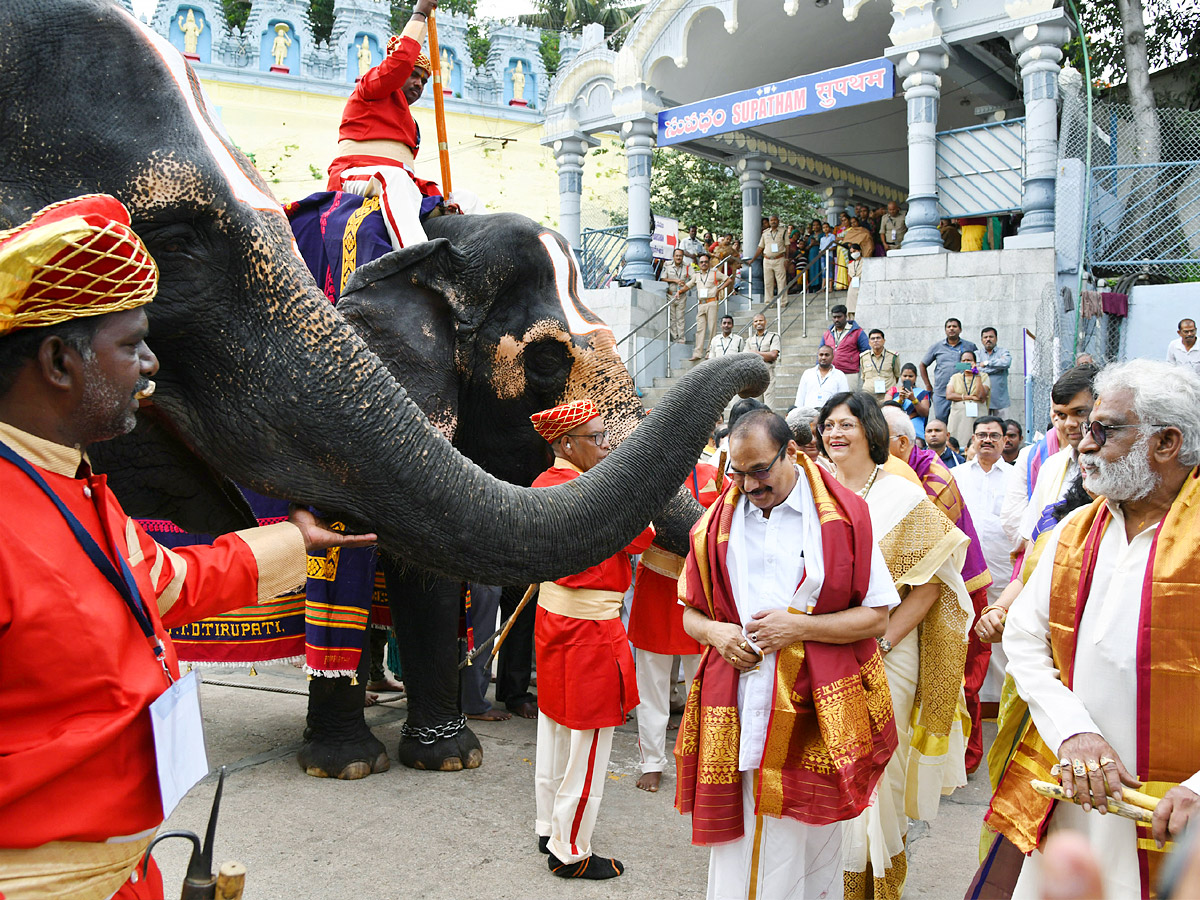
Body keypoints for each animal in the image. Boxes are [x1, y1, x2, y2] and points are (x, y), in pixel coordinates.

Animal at [0, 0, 768, 777]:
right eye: (549, 362)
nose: (760, 368)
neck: (438, 235)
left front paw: (481, 734)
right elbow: (379, 549)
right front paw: (378, 761)